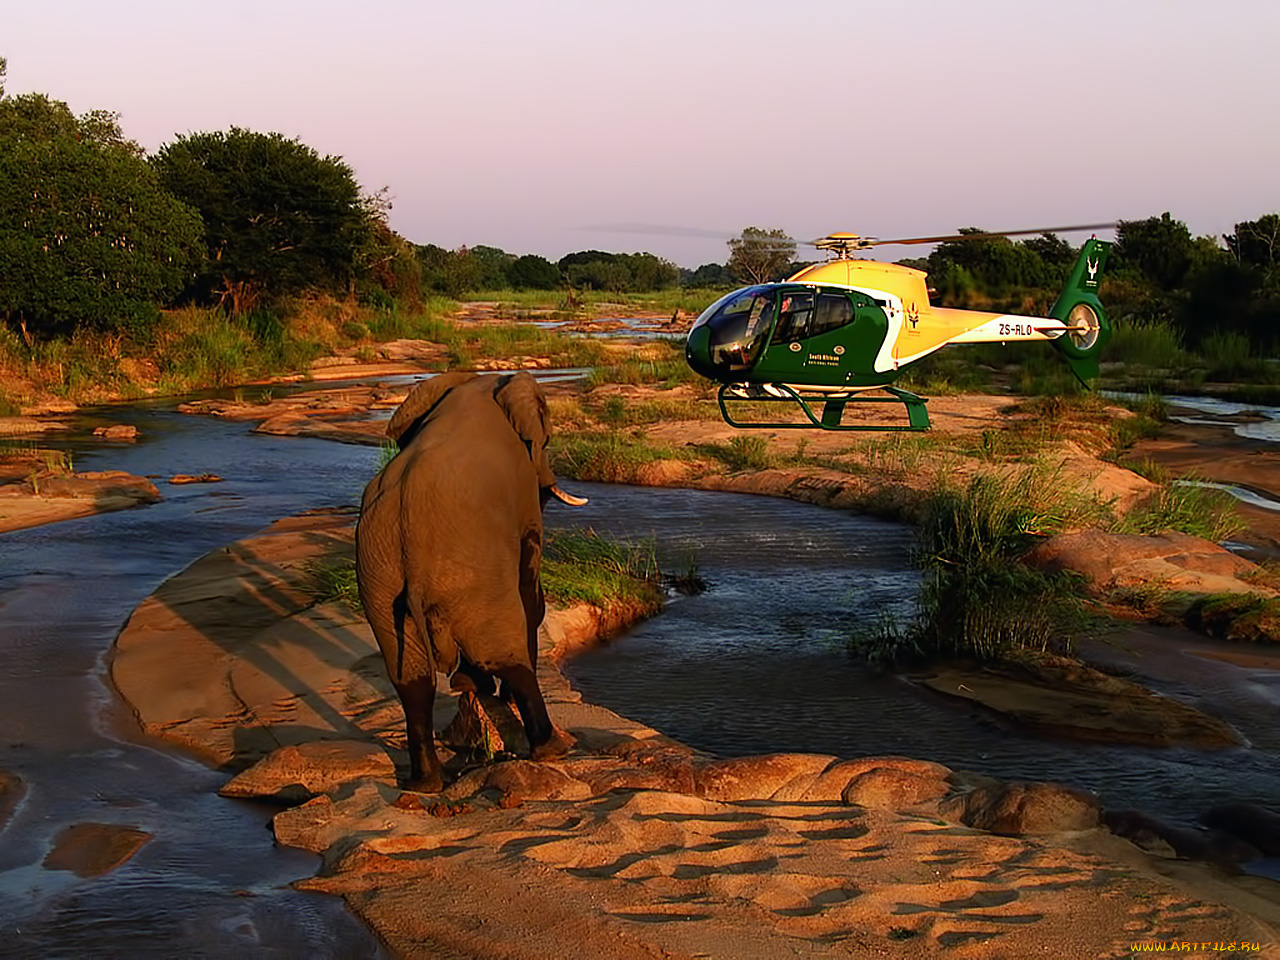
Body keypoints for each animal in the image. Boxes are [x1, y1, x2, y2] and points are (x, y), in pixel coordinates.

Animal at [355, 371, 586, 793]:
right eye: (545, 440)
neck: (480, 383)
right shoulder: (523, 495)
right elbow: (528, 582)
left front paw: (473, 688)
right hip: (465, 571)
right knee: (502, 647)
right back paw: (552, 748)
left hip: (378, 575)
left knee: (411, 678)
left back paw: (426, 783)